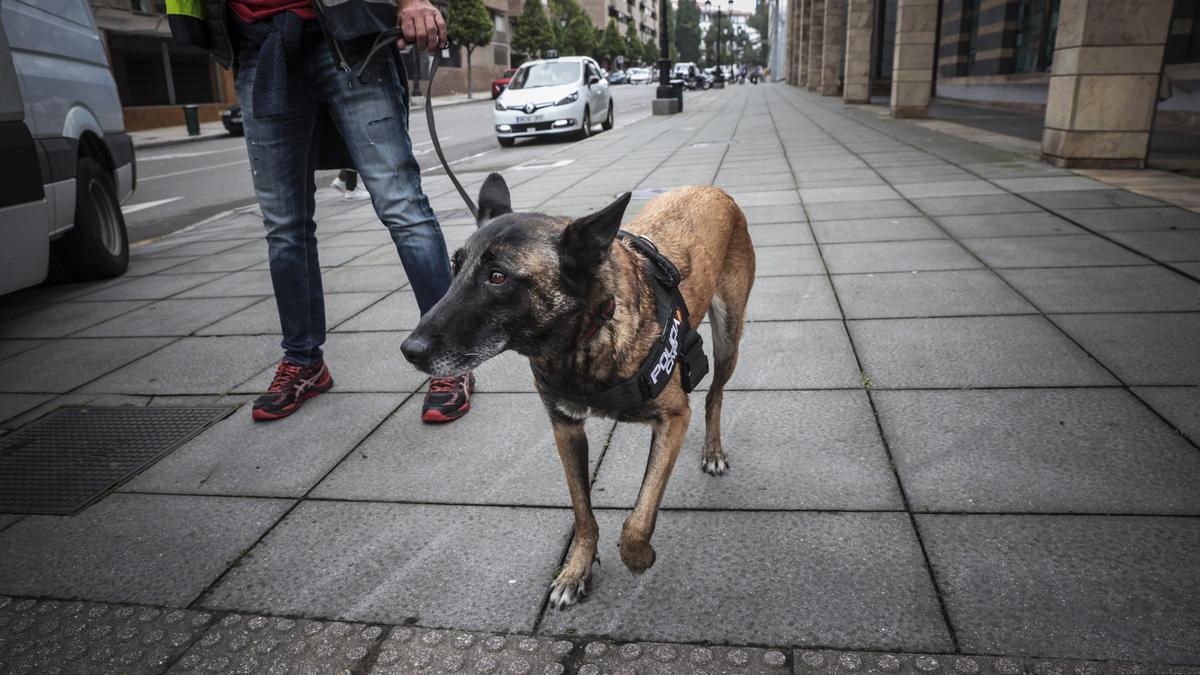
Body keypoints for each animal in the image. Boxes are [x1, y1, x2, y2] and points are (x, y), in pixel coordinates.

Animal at [408, 171, 753, 605]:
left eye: (498, 276)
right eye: (454, 269)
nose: (410, 350)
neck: (585, 338)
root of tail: (713, 190)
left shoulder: (674, 418)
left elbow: (638, 518)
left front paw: (639, 557)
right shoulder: (565, 429)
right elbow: (583, 513)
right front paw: (576, 570)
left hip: (728, 339)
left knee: (714, 395)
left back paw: (713, 450)